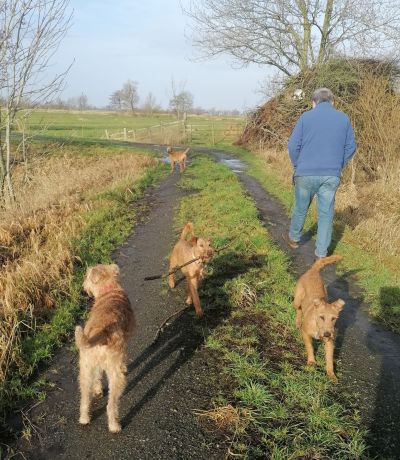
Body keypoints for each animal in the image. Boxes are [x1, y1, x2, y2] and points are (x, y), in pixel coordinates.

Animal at [75, 264, 136, 434]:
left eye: (86, 277)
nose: (83, 287)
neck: (108, 289)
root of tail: (100, 333)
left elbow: (97, 377)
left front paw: (97, 390)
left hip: (85, 369)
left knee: (85, 398)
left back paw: (84, 418)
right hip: (116, 376)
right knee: (111, 405)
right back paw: (115, 425)